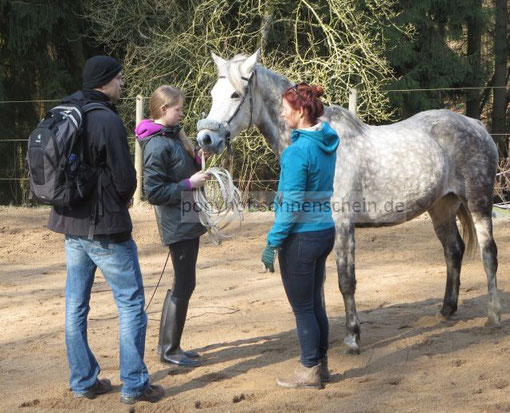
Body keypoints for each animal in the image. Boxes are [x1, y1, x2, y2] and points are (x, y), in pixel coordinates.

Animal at [196, 50, 502, 352]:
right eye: (212, 93)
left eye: (235, 94)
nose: (206, 138)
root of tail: (476, 125)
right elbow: (317, 285)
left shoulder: (343, 224)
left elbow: (346, 280)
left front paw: (353, 337)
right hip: (441, 207)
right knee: (453, 250)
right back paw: (447, 310)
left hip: (478, 202)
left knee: (488, 254)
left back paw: (494, 318)